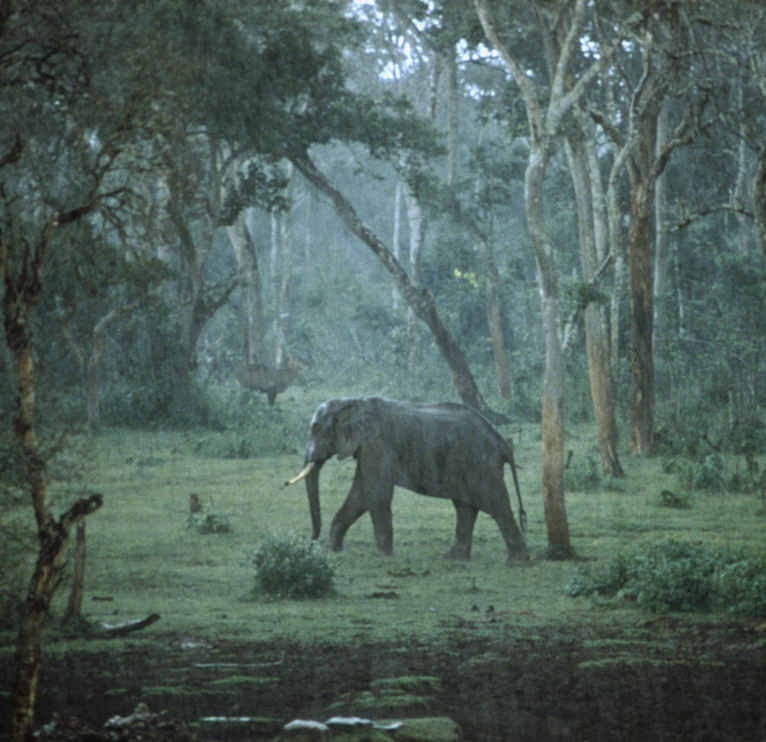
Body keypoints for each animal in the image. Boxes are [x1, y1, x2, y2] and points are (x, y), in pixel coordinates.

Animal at [286, 397, 528, 562]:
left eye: (316, 428)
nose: (311, 543)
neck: (353, 401)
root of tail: (502, 443)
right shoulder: (368, 448)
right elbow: (361, 493)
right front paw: (336, 550)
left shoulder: (377, 444)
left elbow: (375, 493)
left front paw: (386, 556)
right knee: (465, 508)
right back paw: (452, 558)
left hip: (481, 464)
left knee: (496, 505)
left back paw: (517, 562)